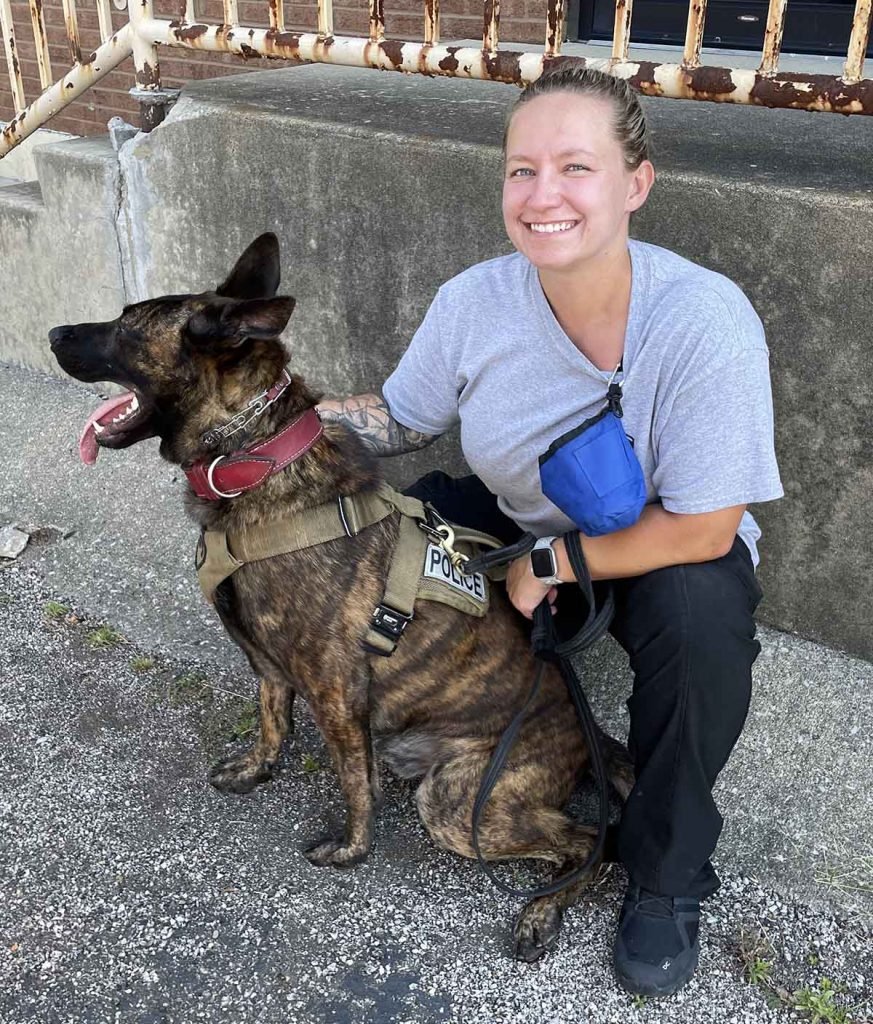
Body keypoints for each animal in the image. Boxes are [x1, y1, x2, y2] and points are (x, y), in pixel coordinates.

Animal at [49, 235, 634, 962]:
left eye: (128, 325)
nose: (52, 333)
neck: (253, 459)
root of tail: (590, 735)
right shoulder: (269, 664)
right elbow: (271, 718)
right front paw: (258, 769)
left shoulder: (335, 686)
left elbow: (353, 779)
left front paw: (352, 849)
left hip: (459, 802)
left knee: (595, 844)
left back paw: (545, 908)